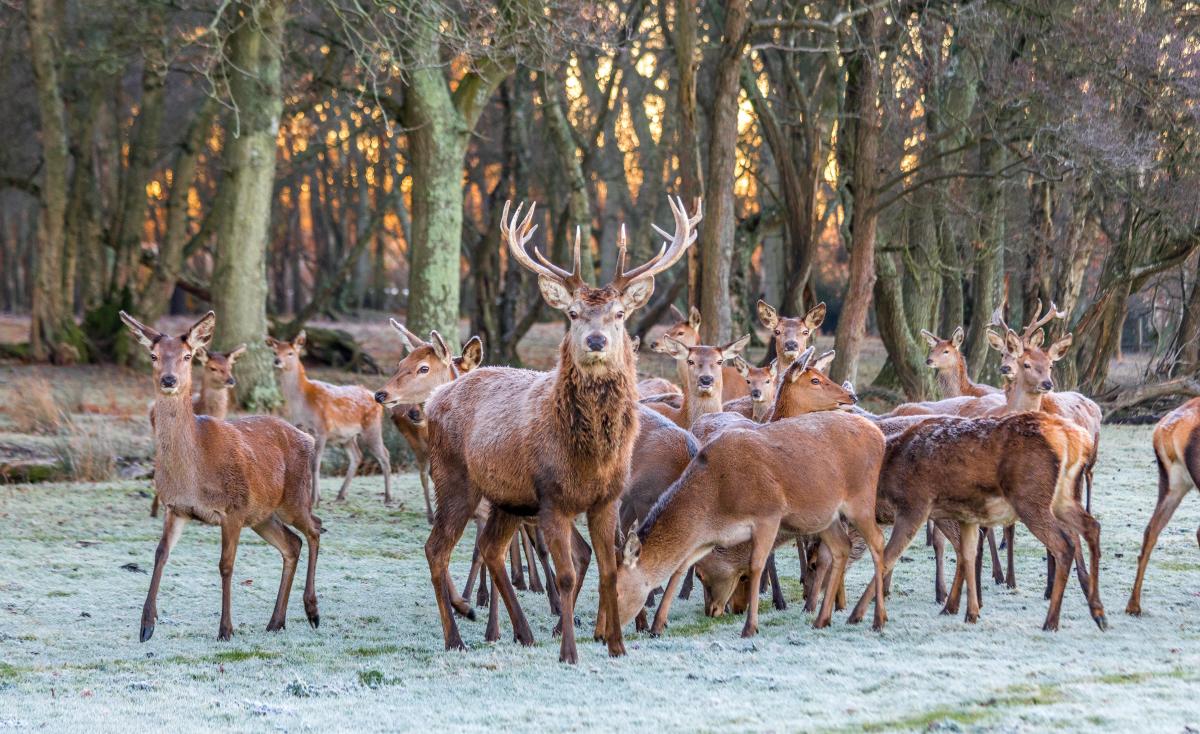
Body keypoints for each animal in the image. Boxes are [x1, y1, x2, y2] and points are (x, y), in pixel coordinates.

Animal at [267, 332, 391, 507]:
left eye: (290, 353)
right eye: (274, 352)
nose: (277, 361)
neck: (301, 404)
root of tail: (375, 398)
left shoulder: (322, 429)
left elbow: (315, 463)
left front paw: (314, 500)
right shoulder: (299, 425)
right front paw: (315, 497)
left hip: (372, 427)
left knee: (384, 454)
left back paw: (388, 497)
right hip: (347, 437)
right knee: (357, 456)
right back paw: (341, 495)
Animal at [423, 195, 700, 663]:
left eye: (619, 313)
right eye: (573, 313)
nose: (595, 341)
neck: (590, 455)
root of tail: (432, 399)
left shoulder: (607, 499)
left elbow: (609, 569)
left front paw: (616, 646)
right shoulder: (552, 497)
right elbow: (567, 575)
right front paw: (569, 651)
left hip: (507, 498)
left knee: (492, 549)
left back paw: (523, 633)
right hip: (455, 478)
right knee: (436, 548)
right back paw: (455, 637)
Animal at [615, 408, 889, 637]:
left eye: (616, 591)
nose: (712, 610)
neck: (717, 500)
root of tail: (878, 436)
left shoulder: (768, 514)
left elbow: (757, 565)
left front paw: (750, 626)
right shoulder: (710, 536)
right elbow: (680, 567)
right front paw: (657, 625)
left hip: (861, 499)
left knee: (877, 541)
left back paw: (875, 618)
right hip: (826, 516)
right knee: (841, 547)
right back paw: (822, 619)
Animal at [842, 411, 1106, 632]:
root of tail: (1076, 439)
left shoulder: (914, 505)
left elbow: (887, 558)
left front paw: (858, 615)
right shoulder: (966, 515)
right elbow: (968, 554)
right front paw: (970, 612)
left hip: (1031, 499)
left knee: (1064, 545)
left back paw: (1052, 621)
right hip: (1063, 497)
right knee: (1092, 526)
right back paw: (1098, 613)